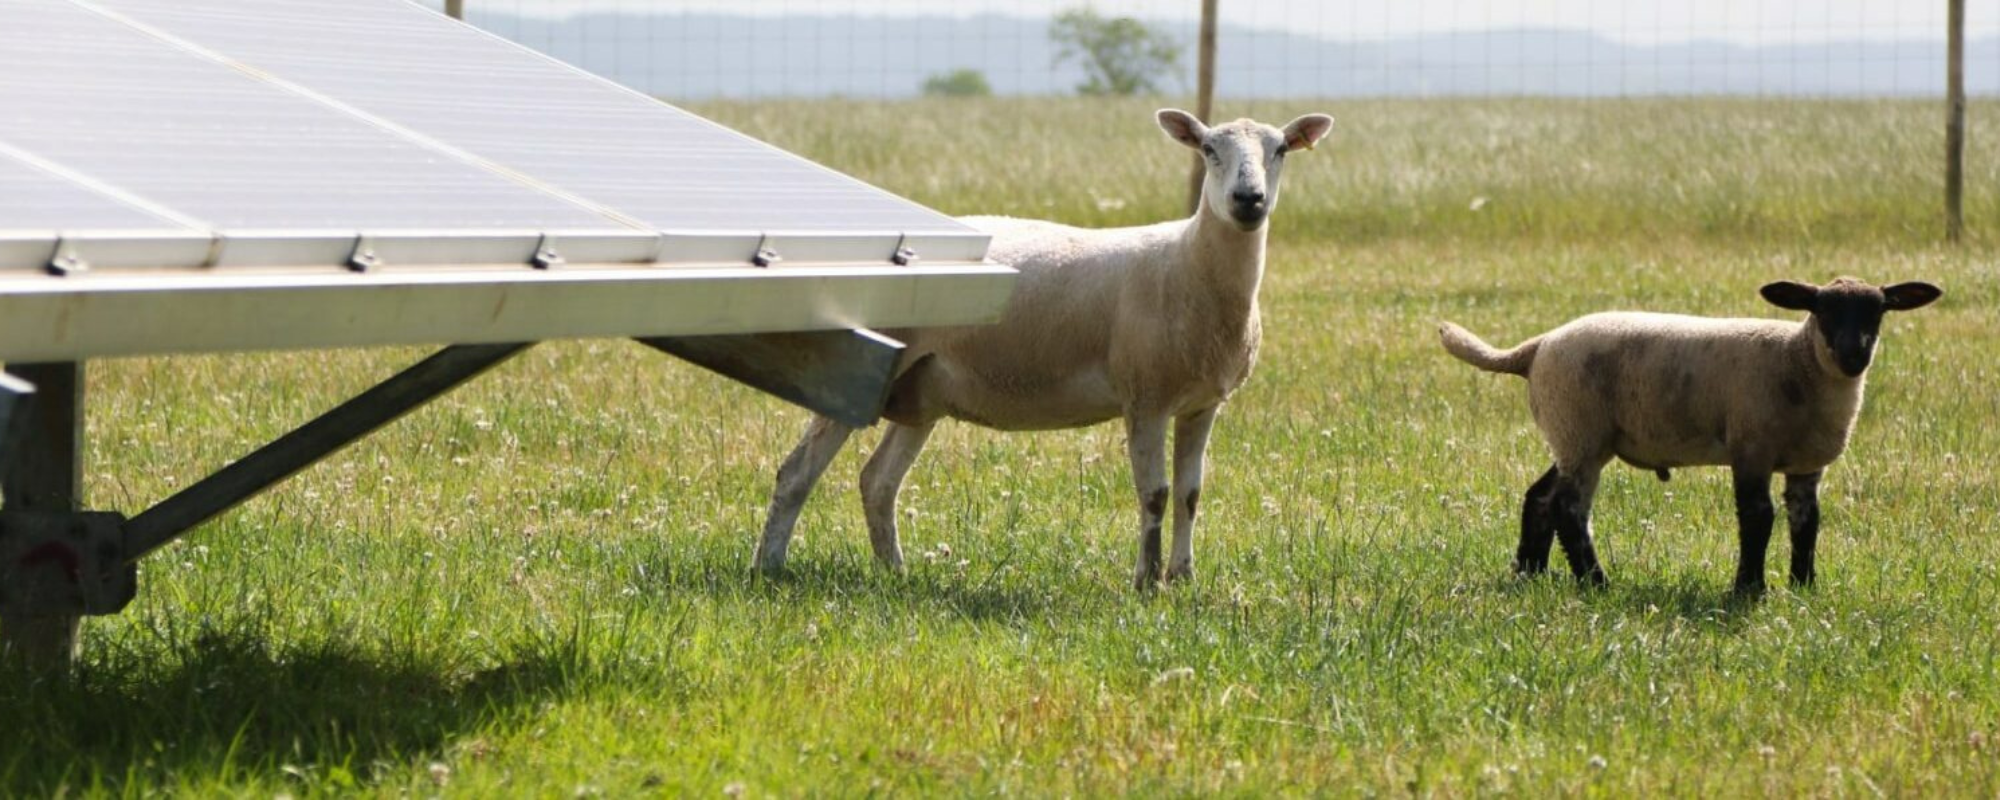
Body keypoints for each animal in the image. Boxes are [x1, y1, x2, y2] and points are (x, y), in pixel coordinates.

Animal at [753, 108, 1336, 589]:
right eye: (1209, 149)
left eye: (1281, 150)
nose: (1248, 200)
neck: (1190, 264)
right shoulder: (1144, 396)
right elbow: (1155, 494)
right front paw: (1146, 584)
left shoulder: (1201, 404)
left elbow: (1190, 495)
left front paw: (1184, 579)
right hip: (861, 366)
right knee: (797, 472)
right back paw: (769, 568)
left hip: (920, 389)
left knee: (878, 481)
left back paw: (895, 573)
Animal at [1438, 277, 1943, 596]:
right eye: (1821, 310)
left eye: (1879, 311)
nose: (1854, 355)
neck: (1798, 361)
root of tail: (1536, 347)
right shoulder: (1751, 445)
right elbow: (1758, 518)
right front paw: (1749, 589)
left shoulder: (1805, 464)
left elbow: (1806, 522)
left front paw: (1804, 586)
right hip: (1579, 429)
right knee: (1570, 508)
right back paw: (1596, 582)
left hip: (1576, 437)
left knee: (1540, 496)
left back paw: (1532, 573)